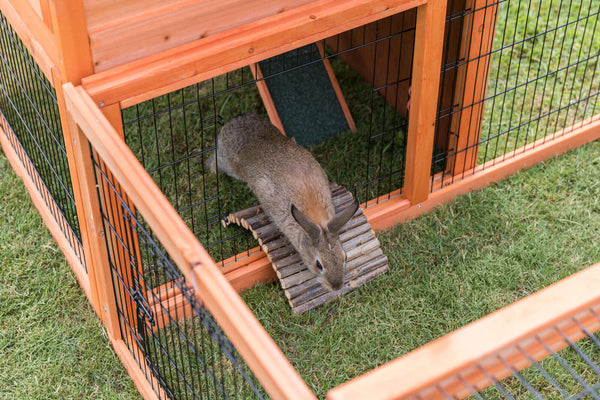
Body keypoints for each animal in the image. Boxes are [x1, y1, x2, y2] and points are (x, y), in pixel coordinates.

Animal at [206, 112, 358, 290]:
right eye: (319, 265)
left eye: (344, 256)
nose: (336, 286)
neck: (317, 220)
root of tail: (231, 123)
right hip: (226, 162)